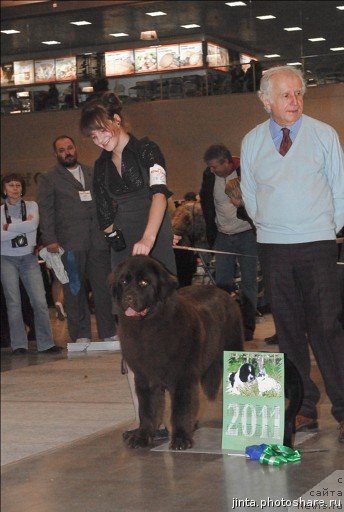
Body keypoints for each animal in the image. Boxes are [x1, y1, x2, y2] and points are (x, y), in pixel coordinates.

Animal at [111, 255, 245, 448]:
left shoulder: (182, 377)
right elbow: (147, 409)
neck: (149, 327)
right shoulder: (145, 378)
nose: (128, 297)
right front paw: (142, 436)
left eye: (144, 283)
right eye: (123, 281)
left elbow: (181, 409)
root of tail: (224, 292)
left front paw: (181, 438)